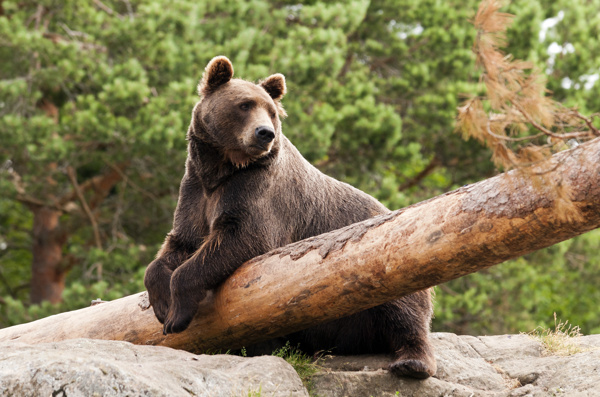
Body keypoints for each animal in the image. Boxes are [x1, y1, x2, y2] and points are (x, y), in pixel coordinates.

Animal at [144, 55, 436, 378]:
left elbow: (240, 237)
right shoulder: (197, 191)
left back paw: (412, 362)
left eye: (271, 112)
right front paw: (162, 304)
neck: (223, 168)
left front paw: (176, 316)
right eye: (244, 105)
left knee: (402, 307)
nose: (265, 133)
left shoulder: (256, 192)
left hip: (387, 254)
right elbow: (179, 244)